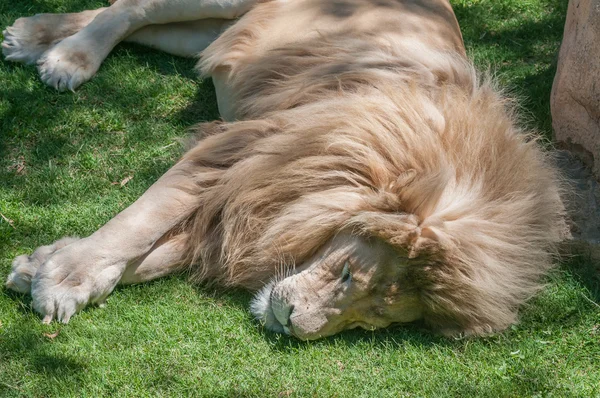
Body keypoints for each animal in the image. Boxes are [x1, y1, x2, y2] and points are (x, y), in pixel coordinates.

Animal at [3, 0, 568, 340]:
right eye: (347, 273)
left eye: (372, 320)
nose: (293, 325)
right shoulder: (239, 151)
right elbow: (139, 223)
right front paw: (65, 279)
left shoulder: (245, 205)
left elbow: (158, 255)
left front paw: (41, 265)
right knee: (131, 8)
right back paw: (69, 60)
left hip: (228, 33)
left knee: (148, 23)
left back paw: (30, 37)